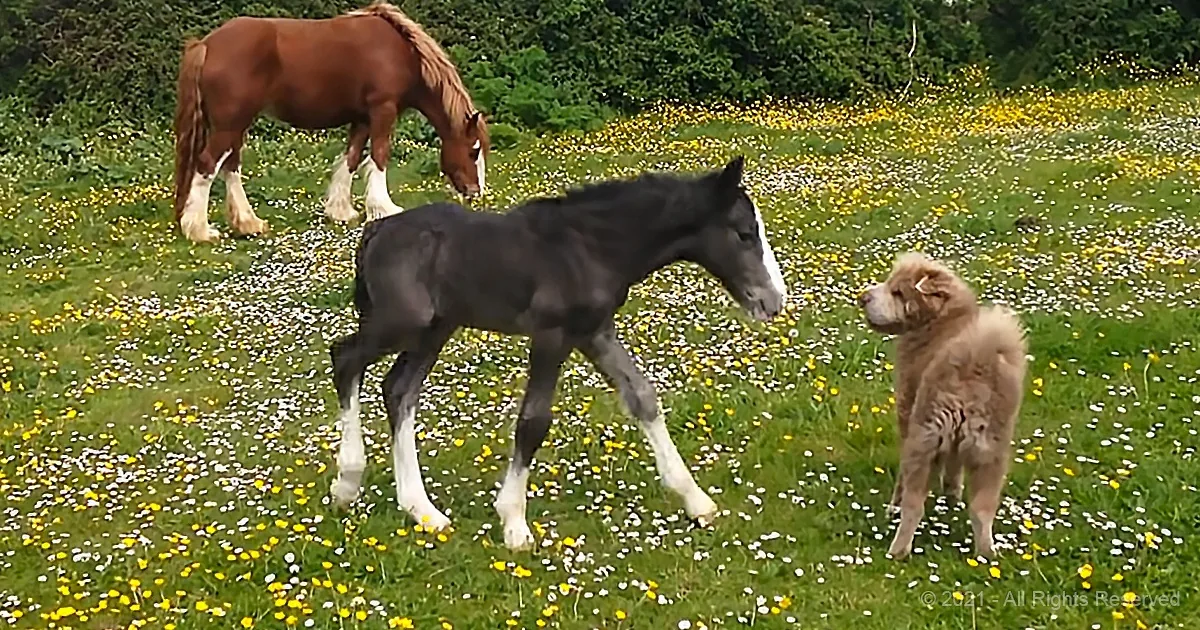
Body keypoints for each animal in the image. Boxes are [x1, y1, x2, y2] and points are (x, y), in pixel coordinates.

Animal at [172, 1, 490, 244]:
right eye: (473, 150)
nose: (476, 192)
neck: (401, 52)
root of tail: (206, 44)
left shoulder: (362, 119)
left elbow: (351, 159)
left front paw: (341, 211)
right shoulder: (382, 110)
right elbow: (379, 156)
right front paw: (384, 208)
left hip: (236, 124)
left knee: (230, 166)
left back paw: (248, 223)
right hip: (230, 124)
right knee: (208, 165)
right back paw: (200, 230)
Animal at [325, 155, 788, 550]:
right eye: (744, 233)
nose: (774, 301)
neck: (590, 247)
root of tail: (376, 233)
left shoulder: (595, 331)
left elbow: (643, 397)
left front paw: (697, 502)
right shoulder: (551, 335)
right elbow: (533, 422)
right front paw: (514, 522)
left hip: (434, 330)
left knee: (399, 390)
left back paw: (423, 510)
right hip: (405, 323)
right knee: (345, 358)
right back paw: (348, 483)